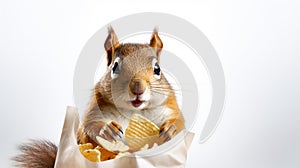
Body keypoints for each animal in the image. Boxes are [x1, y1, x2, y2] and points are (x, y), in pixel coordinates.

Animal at [13, 26, 185, 167]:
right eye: (115, 66)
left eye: (157, 69)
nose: (138, 88)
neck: (133, 111)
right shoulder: (95, 109)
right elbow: (86, 129)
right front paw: (106, 130)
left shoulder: (169, 107)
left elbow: (180, 122)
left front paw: (171, 129)